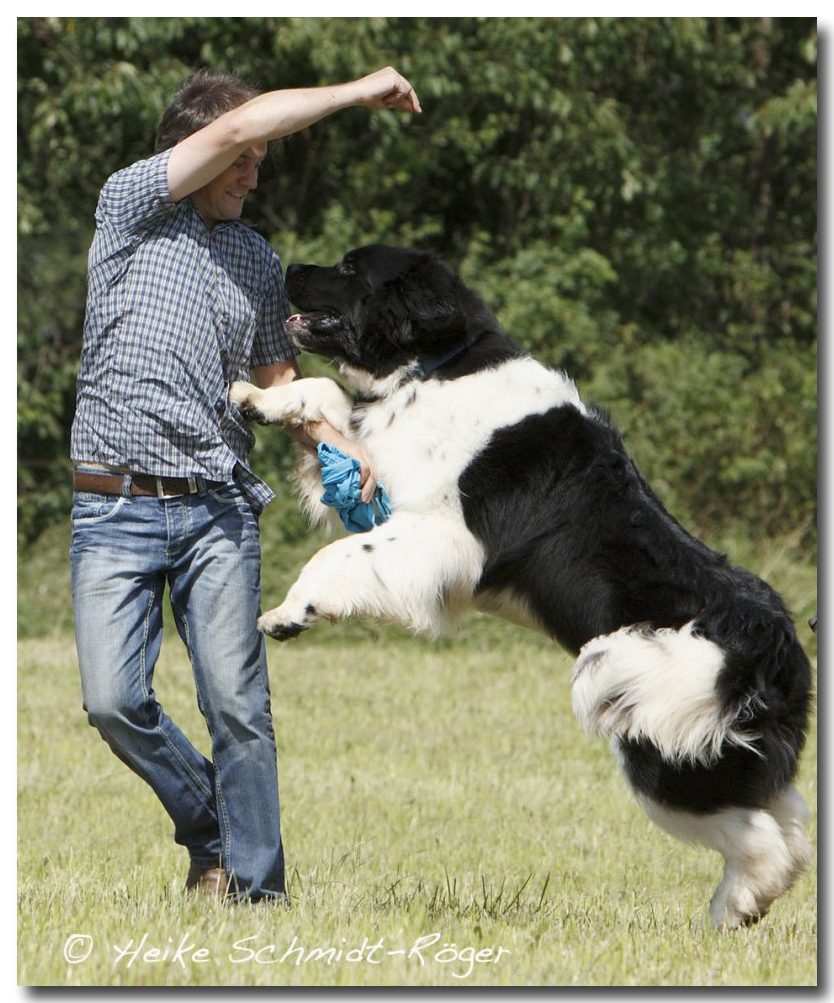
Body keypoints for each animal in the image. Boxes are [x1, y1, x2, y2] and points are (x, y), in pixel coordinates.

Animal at [229, 243, 813, 930]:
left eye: (351, 269)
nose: (289, 265)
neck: (435, 367)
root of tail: (775, 642)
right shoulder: (382, 455)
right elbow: (325, 392)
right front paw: (254, 396)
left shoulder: (441, 535)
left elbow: (340, 553)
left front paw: (288, 613)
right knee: (787, 821)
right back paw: (743, 903)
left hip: (647, 714)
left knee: (758, 832)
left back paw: (735, 907)